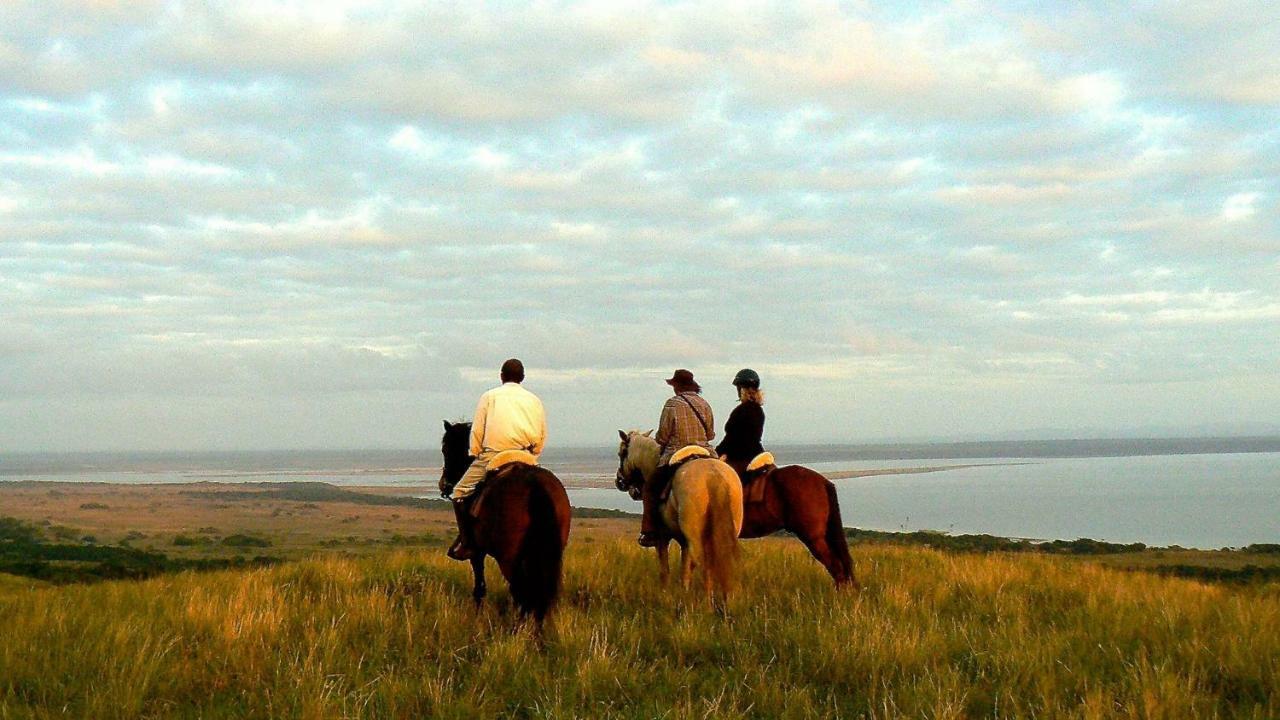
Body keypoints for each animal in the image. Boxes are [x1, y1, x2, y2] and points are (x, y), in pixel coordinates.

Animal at [445, 417, 576, 620]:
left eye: (446, 450)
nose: (443, 484)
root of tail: (533, 484)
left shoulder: (477, 552)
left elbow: (479, 585)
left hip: (508, 558)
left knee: (522, 591)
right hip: (547, 553)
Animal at [614, 427, 747, 597]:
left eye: (621, 453)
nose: (619, 481)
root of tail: (713, 475)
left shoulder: (662, 538)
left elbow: (665, 569)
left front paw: (665, 593)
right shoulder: (684, 542)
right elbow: (685, 570)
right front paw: (684, 591)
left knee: (703, 562)